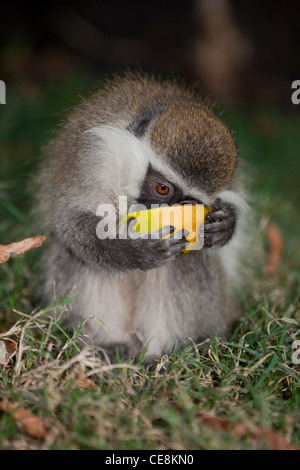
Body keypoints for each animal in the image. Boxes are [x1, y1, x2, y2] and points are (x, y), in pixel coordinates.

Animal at [35, 70, 247, 364]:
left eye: (189, 203)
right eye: (162, 188)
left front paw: (225, 225)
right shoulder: (95, 157)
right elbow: (71, 221)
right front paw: (135, 253)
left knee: (189, 262)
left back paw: (167, 356)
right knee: (76, 258)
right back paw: (105, 348)